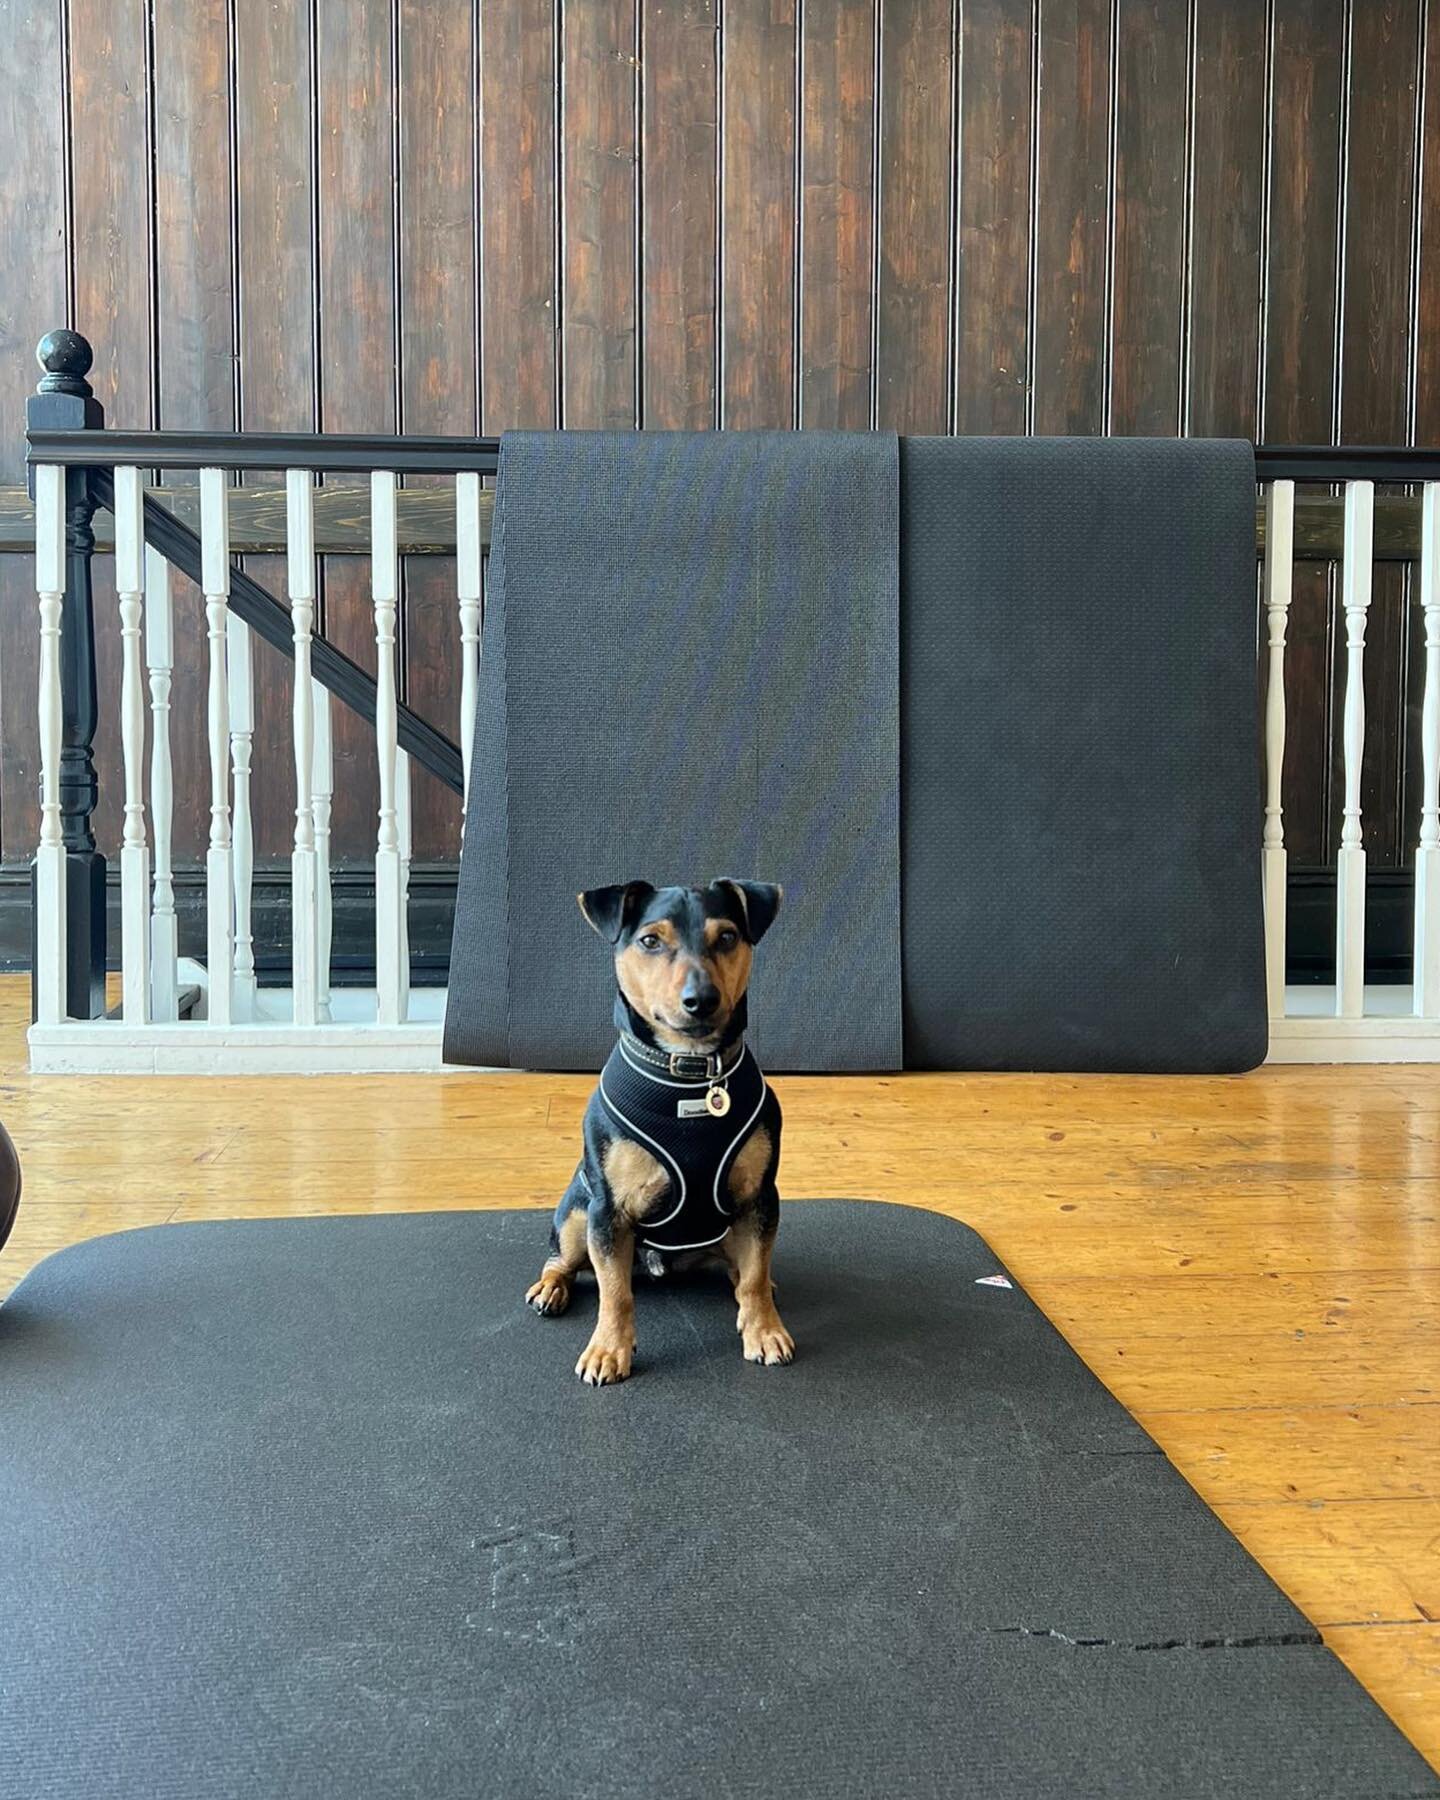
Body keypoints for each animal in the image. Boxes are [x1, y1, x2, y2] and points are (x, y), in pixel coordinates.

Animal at [525, 878, 799, 1382]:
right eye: (650, 941)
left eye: (727, 937)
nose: (701, 999)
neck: (689, 1073)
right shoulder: (608, 1212)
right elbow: (615, 1293)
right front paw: (608, 1350)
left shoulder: (760, 1199)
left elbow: (753, 1276)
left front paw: (764, 1330)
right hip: (576, 1213)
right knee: (564, 1259)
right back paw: (550, 1288)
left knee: (744, 1268)